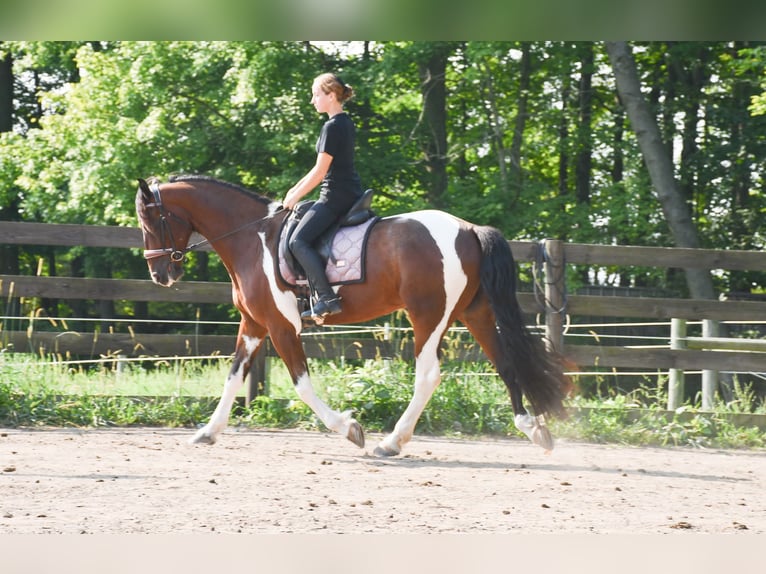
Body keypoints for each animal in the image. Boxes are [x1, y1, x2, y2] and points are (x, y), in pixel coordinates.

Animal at [135, 174, 571, 456]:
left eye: (149, 219)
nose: (160, 275)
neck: (250, 239)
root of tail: (468, 229)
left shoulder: (280, 326)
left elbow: (301, 385)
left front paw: (350, 429)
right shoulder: (254, 324)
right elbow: (232, 377)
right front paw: (208, 432)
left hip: (428, 316)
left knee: (428, 375)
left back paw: (391, 442)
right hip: (473, 312)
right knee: (505, 363)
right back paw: (533, 429)